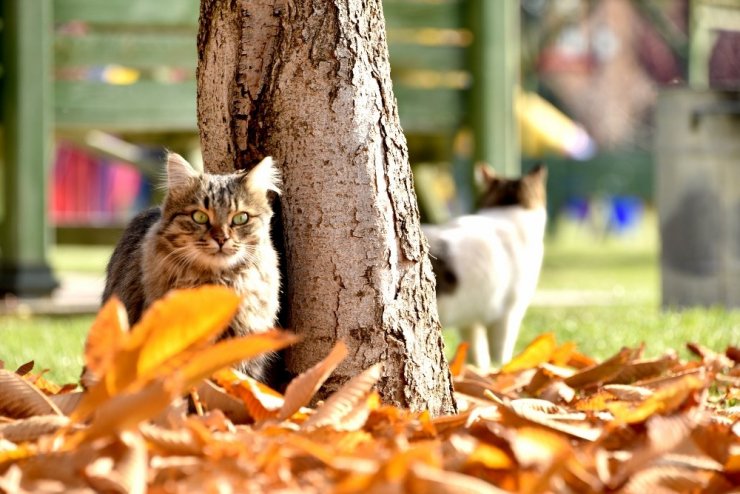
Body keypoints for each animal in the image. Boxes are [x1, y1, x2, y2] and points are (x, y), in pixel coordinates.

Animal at [424, 164, 548, 368]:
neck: (506, 214)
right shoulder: (508, 314)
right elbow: (500, 352)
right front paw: (499, 368)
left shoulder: (469, 320)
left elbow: (475, 351)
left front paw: (478, 369)